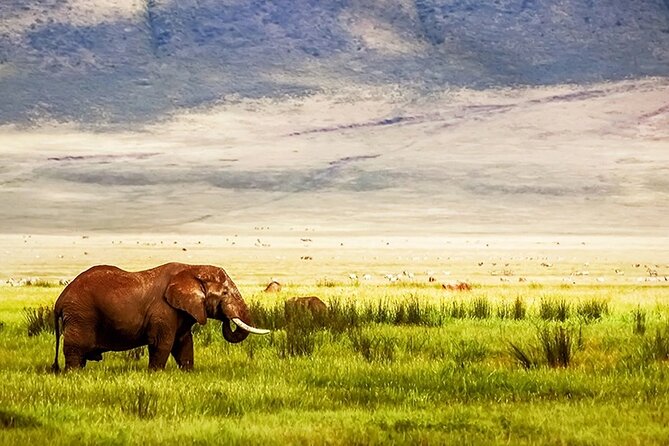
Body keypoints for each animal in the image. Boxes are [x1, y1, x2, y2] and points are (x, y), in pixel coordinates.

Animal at [51, 262, 269, 372]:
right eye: (224, 293)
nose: (226, 318)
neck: (192, 268)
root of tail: (60, 300)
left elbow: (184, 344)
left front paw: (187, 373)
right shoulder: (163, 310)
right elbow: (161, 343)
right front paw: (155, 374)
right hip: (81, 315)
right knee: (75, 350)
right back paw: (74, 374)